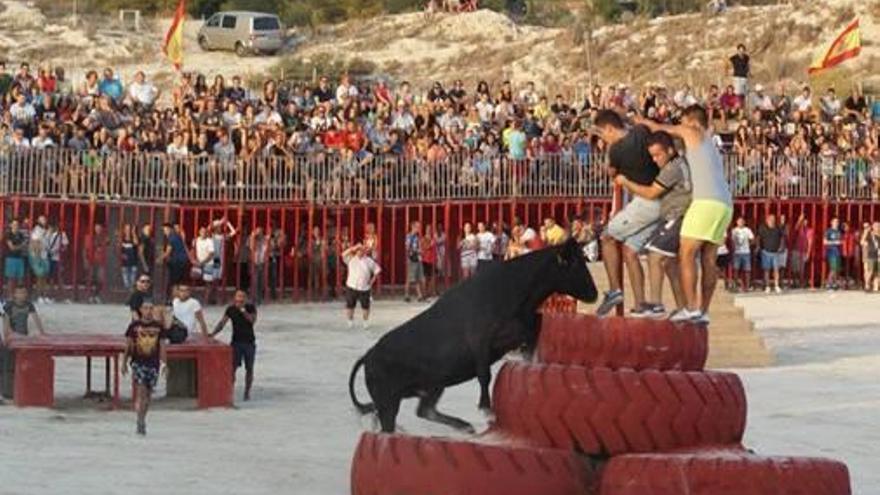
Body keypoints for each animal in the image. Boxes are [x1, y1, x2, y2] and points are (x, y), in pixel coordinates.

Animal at [348, 240, 596, 434]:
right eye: (575, 264)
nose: (594, 293)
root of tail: (369, 355)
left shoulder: (522, 325)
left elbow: (536, 326)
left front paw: (530, 360)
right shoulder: (480, 341)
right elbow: (484, 374)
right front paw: (487, 410)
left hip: (431, 385)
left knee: (425, 410)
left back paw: (464, 426)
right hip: (388, 401)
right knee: (391, 423)